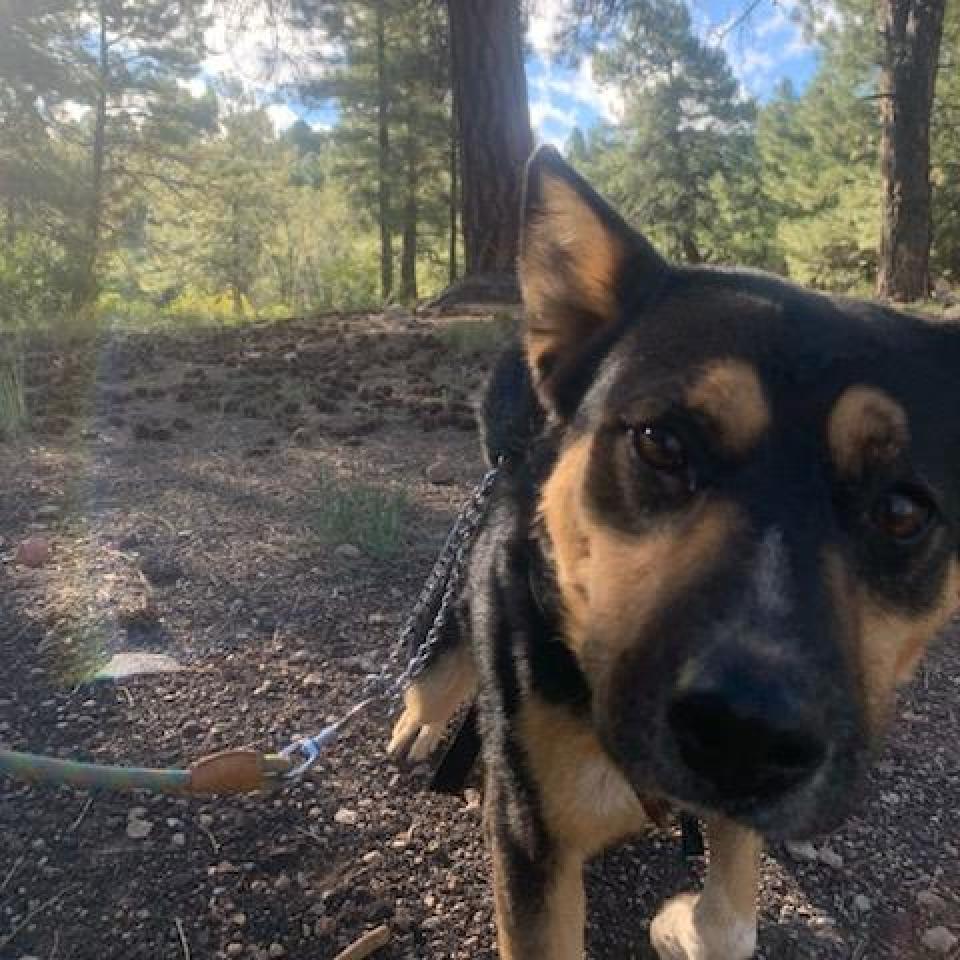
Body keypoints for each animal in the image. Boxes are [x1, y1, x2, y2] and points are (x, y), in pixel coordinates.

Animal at [388, 144, 960, 960]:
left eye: (902, 510)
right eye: (661, 443)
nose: (745, 737)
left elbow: (733, 920)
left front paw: (682, 925)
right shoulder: (531, 838)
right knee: (438, 662)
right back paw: (420, 720)